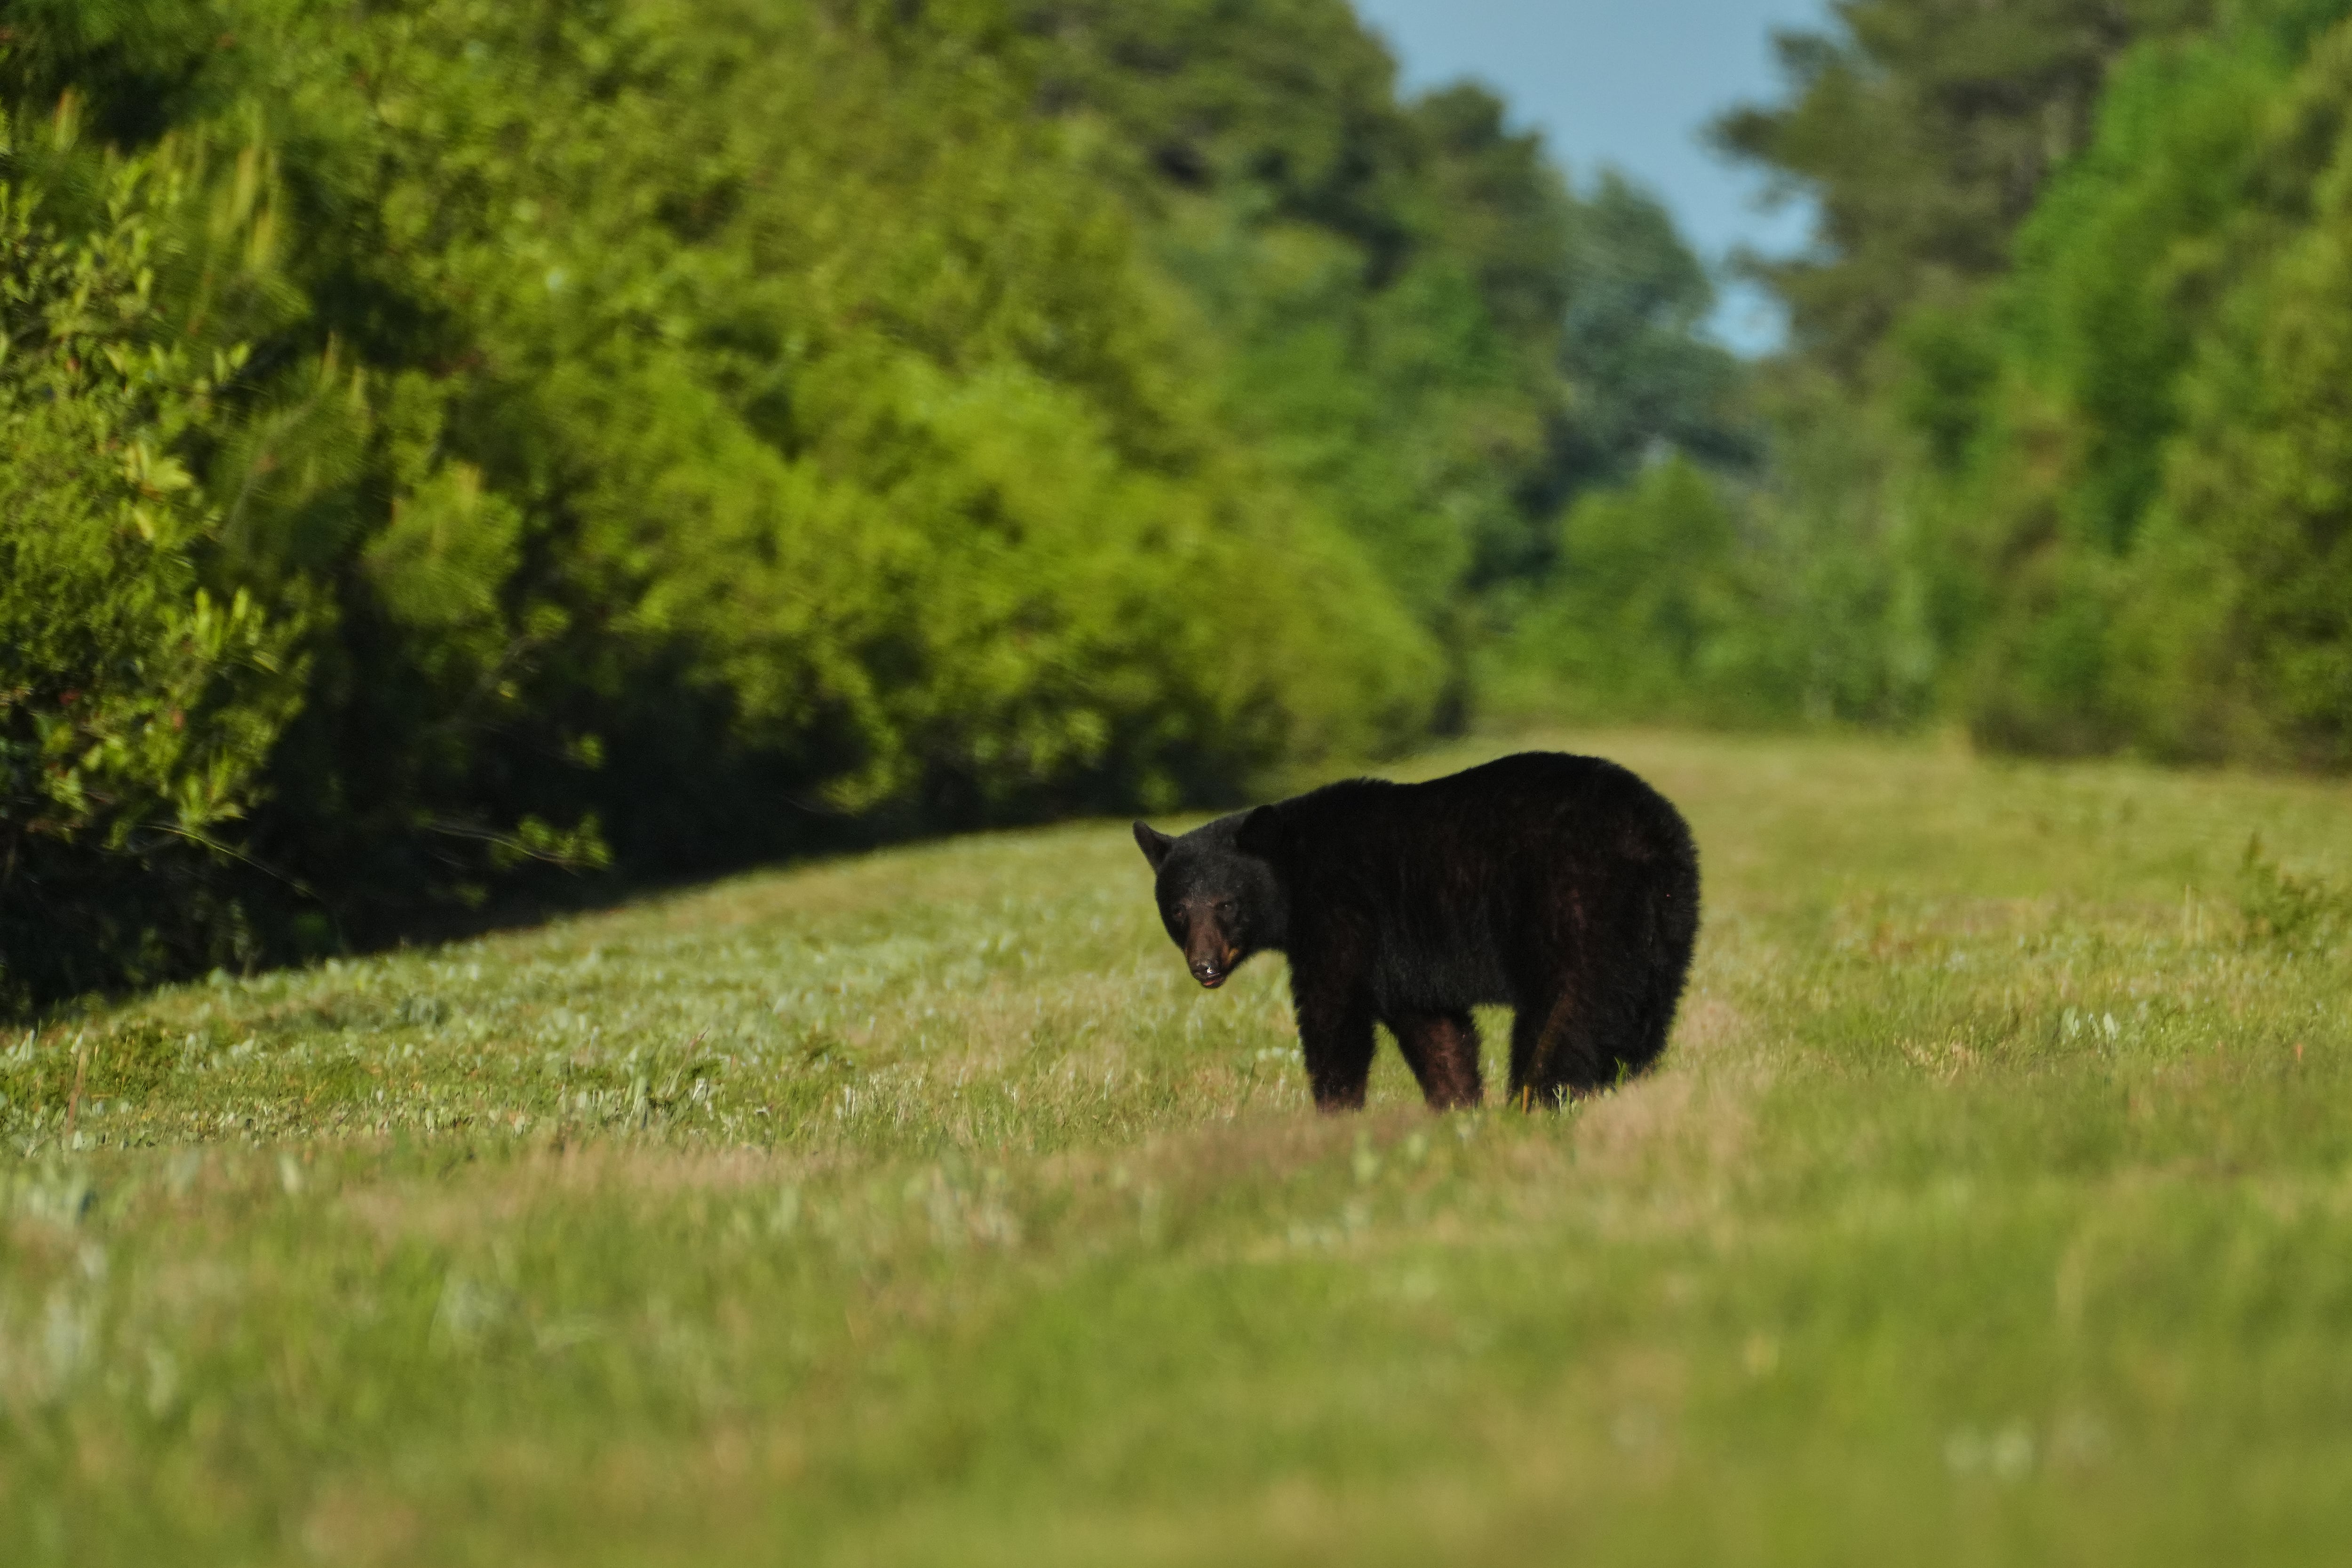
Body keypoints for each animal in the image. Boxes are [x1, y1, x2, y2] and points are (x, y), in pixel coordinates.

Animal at [1133, 751, 1699, 1111]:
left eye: (1226, 904)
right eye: (1178, 909)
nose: (1203, 965)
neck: (1294, 868)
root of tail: (1647, 838)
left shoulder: (1342, 913)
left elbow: (1333, 1015)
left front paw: (1334, 1116)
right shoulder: (1404, 958)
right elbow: (1435, 1032)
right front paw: (1458, 1108)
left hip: (1573, 904)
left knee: (1565, 1014)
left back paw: (1536, 1103)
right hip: (1665, 929)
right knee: (1643, 1021)